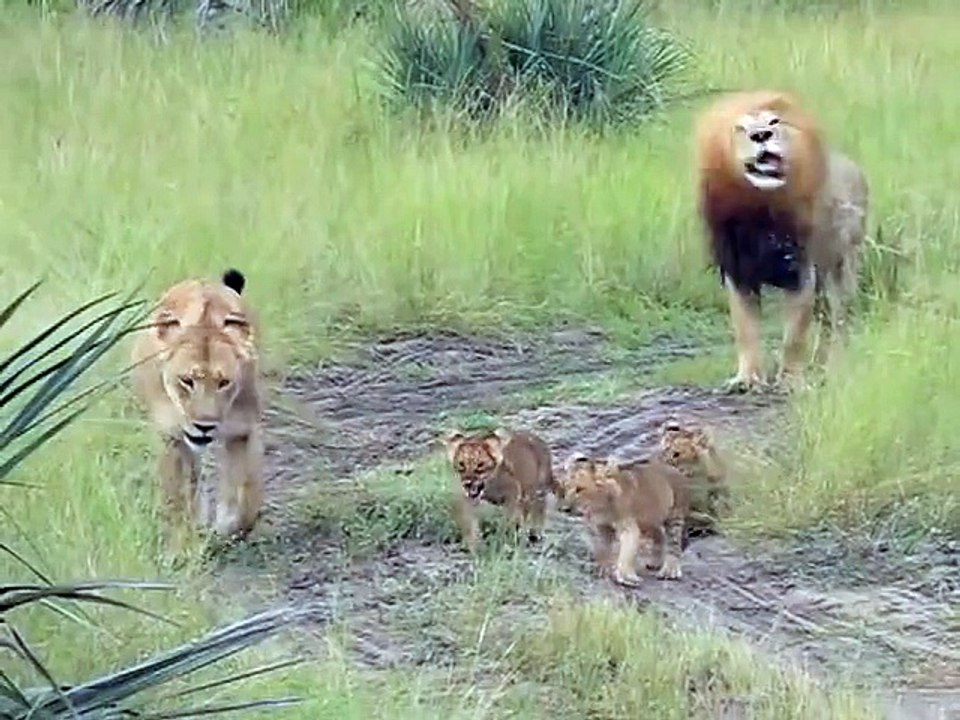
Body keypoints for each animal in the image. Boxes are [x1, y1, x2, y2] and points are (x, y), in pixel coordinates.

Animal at [130, 268, 265, 541]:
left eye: (224, 382)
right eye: (187, 381)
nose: (204, 426)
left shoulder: (243, 430)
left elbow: (245, 492)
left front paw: (229, 526)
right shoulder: (169, 435)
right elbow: (178, 497)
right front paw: (185, 538)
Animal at [558, 454, 690, 587]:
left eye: (579, 489)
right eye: (566, 486)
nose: (565, 508)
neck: (600, 505)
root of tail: (676, 470)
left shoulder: (628, 526)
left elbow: (627, 552)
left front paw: (627, 577)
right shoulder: (602, 527)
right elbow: (603, 548)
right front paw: (603, 569)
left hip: (675, 515)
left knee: (674, 544)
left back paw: (669, 571)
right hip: (650, 520)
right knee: (660, 534)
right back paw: (655, 563)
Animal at [695, 89, 869, 393]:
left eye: (773, 122)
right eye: (741, 129)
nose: (761, 135)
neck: (759, 211)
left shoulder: (799, 271)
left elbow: (794, 336)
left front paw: (789, 380)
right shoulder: (738, 275)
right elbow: (746, 329)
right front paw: (747, 378)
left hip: (841, 266)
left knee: (839, 319)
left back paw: (834, 369)